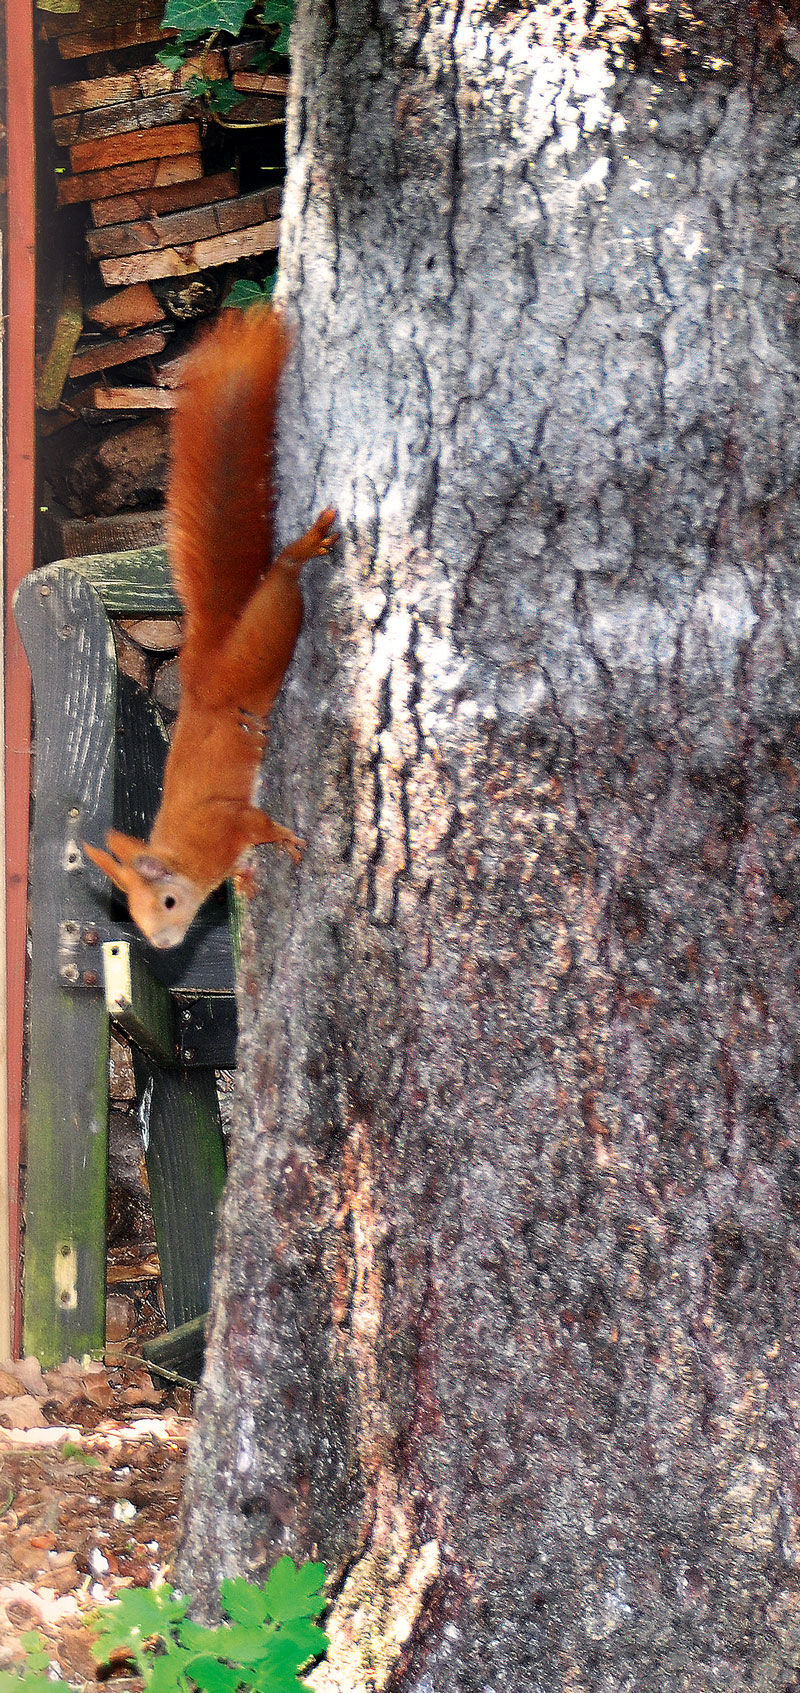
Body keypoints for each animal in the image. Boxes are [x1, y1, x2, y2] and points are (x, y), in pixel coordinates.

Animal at [84, 309, 336, 948]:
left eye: (168, 902)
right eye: (136, 918)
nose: (163, 944)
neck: (185, 855)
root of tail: (204, 664)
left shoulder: (227, 822)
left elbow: (257, 823)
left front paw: (284, 839)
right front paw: (246, 881)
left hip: (264, 645)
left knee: (283, 582)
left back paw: (300, 552)